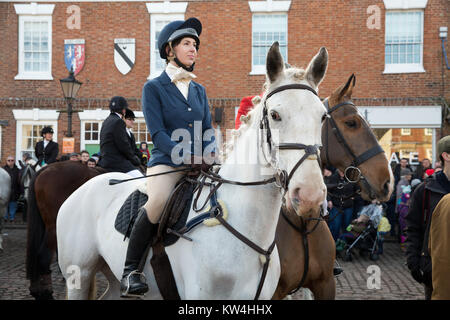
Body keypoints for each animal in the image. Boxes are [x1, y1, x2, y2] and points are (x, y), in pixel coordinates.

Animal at [58, 42, 328, 300]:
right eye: (274, 114)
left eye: (323, 116)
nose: (310, 195)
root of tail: (85, 186)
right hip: (79, 275)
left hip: (113, 279)